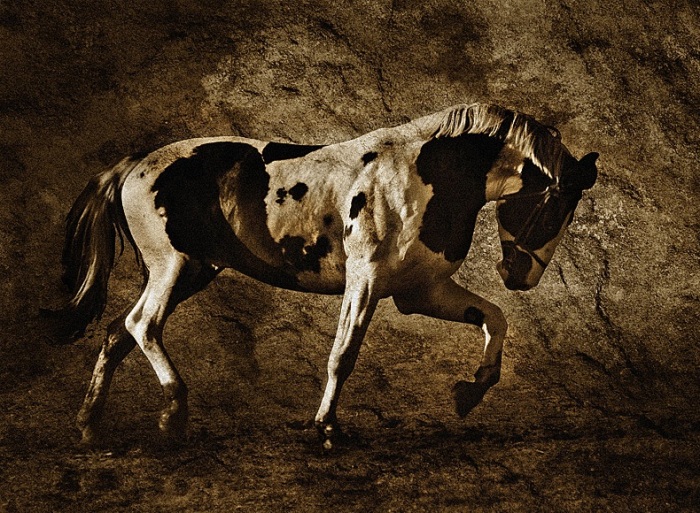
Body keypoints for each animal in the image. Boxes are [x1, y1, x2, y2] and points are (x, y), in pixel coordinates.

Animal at [53, 103, 598, 449]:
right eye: (554, 205)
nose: (520, 275)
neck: (424, 175)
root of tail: (132, 167)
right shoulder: (367, 280)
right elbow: (343, 356)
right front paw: (327, 428)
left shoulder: (421, 291)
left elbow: (495, 318)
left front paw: (472, 390)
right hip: (173, 265)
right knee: (143, 326)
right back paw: (173, 414)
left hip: (192, 271)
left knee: (116, 333)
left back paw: (89, 427)